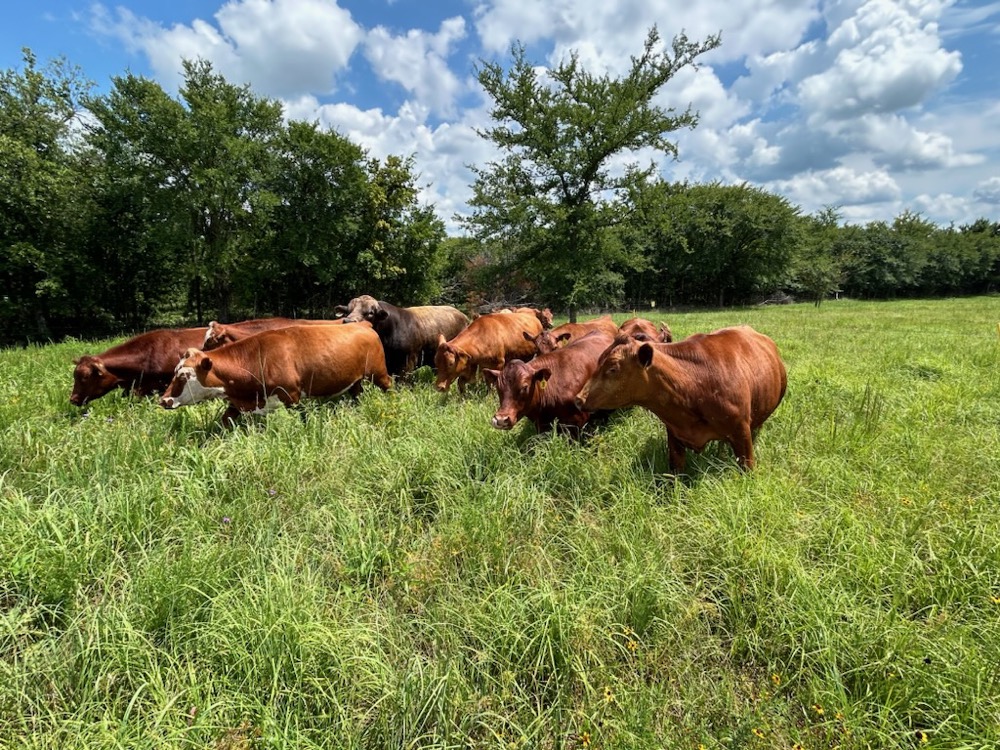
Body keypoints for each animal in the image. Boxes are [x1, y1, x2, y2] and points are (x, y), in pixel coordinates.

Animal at [159, 324, 392, 425]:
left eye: (183, 376)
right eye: (174, 372)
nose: (163, 400)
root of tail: (363, 324)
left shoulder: (292, 397)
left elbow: (303, 420)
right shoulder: (237, 402)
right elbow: (223, 422)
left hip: (378, 374)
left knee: (389, 387)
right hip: (356, 381)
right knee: (357, 394)